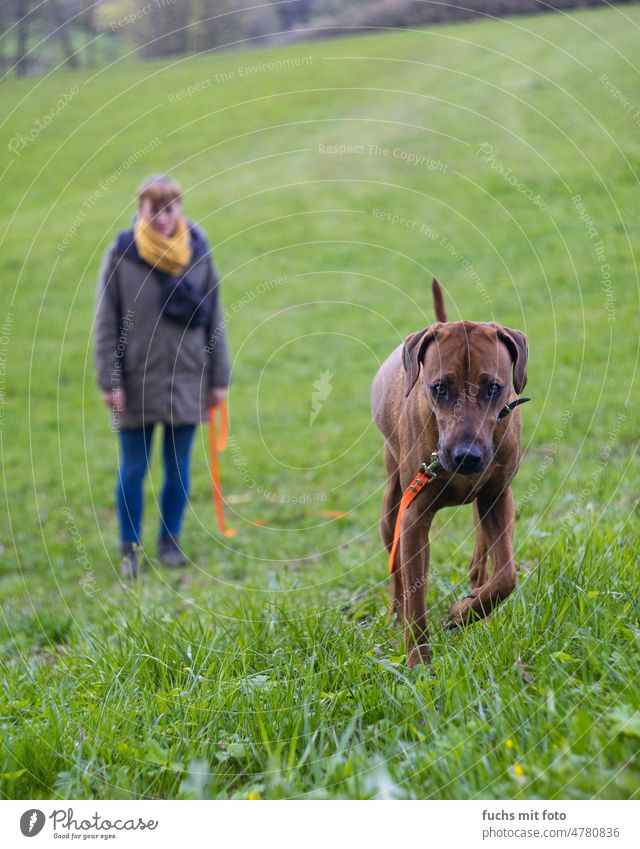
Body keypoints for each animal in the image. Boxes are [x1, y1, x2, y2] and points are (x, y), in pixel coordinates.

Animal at [372, 282, 528, 664]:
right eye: (439, 388)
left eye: (493, 387)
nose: (466, 457)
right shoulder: (413, 516)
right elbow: (415, 598)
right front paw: (418, 663)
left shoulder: (498, 496)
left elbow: (506, 576)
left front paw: (463, 614)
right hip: (392, 503)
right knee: (398, 573)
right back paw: (394, 614)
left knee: (481, 555)